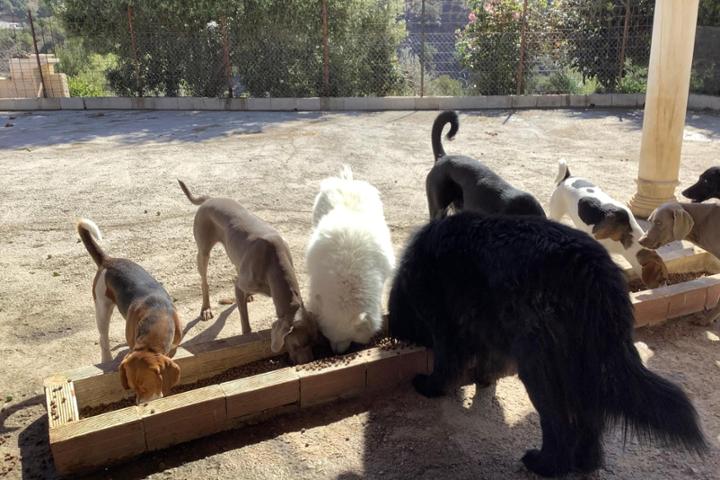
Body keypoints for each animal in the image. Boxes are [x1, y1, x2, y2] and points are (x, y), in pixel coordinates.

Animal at [77, 219, 182, 404]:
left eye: (146, 387)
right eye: (133, 388)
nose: (139, 404)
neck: (158, 315)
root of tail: (108, 260)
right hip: (102, 308)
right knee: (103, 339)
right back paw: (106, 360)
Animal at [178, 180, 317, 364]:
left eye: (314, 341)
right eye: (298, 345)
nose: (308, 362)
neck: (274, 262)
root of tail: (210, 199)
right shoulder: (239, 286)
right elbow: (245, 324)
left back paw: (248, 296)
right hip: (203, 249)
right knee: (204, 280)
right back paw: (206, 309)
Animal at [388, 212, 706, 477]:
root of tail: (593, 271)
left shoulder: (445, 327)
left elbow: (446, 364)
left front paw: (430, 387)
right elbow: (487, 360)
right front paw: (483, 379)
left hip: (539, 368)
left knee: (558, 425)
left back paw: (546, 465)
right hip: (583, 369)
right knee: (590, 421)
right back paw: (585, 463)